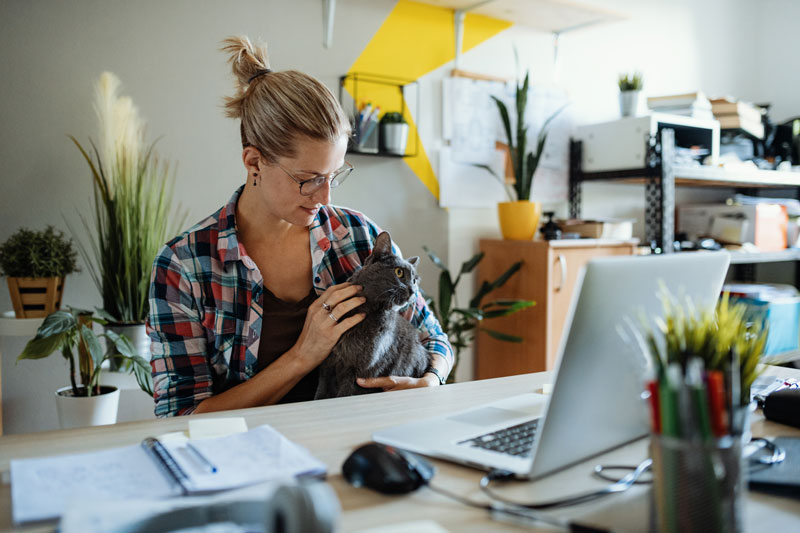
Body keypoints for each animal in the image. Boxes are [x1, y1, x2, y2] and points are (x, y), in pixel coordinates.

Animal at [316, 231, 434, 396]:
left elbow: (346, 394)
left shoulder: (358, 373)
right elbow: (319, 394)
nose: (412, 290)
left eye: (415, 280)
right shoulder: (327, 367)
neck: (366, 310)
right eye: (399, 272)